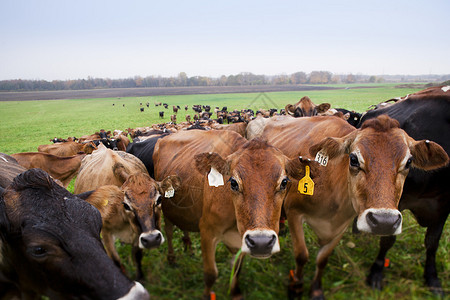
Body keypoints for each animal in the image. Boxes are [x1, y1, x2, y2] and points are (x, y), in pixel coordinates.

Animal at [74, 144, 179, 280]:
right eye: (126, 205)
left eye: (159, 199)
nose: (151, 239)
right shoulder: (106, 232)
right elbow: (116, 261)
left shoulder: (138, 233)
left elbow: (137, 255)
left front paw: (140, 277)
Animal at [152, 130, 316, 298]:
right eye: (233, 182)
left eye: (284, 182)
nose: (262, 242)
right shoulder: (207, 231)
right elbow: (210, 274)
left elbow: (237, 267)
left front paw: (235, 292)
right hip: (166, 208)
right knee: (169, 231)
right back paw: (172, 259)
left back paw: (189, 249)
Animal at [262, 114, 448, 298]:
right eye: (353, 159)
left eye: (409, 162)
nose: (384, 222)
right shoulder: (294, 212)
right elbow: (301, 255)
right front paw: (296, 288)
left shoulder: (343, 223)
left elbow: (323, 259)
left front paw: (316, 290)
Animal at [358, 85, 450, 296]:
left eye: (409, 161)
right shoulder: (395, 203)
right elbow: (388, 239)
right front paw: (376, 273)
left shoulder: (444, 205)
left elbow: (432, 243)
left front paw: (432, 278)